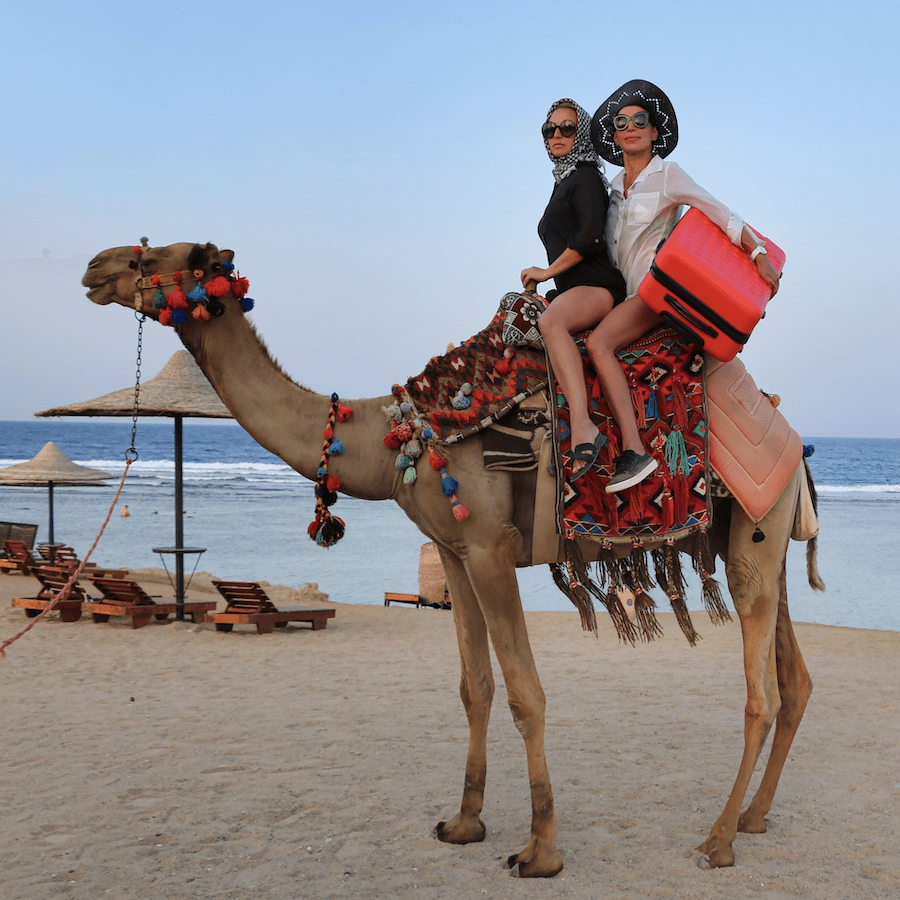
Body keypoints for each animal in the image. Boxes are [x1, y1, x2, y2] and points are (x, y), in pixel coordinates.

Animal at [82, 241, 824, 878]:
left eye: (158, 256)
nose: (95, 266)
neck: (396, 438)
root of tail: (793, 438)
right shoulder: (453, 551)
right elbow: (477, 687)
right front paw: (464, 823)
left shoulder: (492, 549)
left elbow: (526, 694)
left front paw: (540, 853)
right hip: (762, 546)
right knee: (796, 682)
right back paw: (754, 818)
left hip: (753, 539)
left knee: (759, 695)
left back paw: (718, 840)